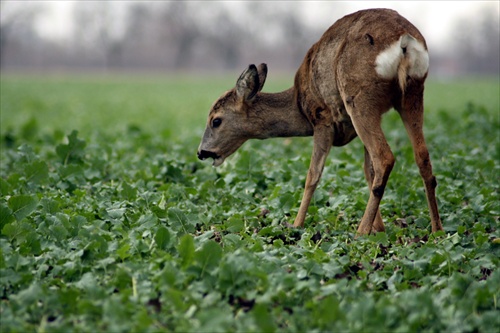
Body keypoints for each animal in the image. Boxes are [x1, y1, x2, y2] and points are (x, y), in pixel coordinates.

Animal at [197, 9, 444, 235]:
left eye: (216, 121)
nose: (201, 152)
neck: (299, 105)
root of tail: (404, 41)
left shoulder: (322, 118)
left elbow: (313, 174)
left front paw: (296, 225)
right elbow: (368, 171)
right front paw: (380, 228)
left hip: (358, 97)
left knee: (385, 157)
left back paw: (360, 232)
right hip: (412, 93)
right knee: (421, 156)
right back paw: (436, 229)